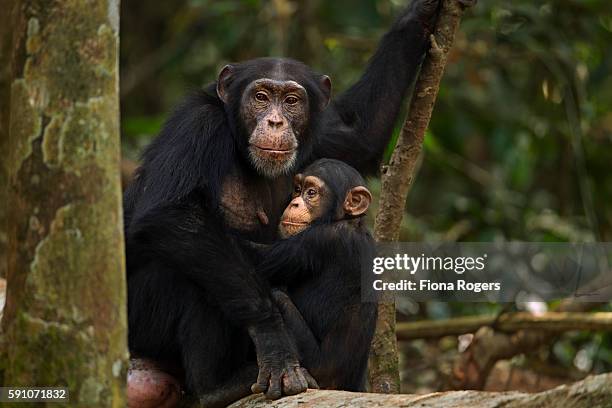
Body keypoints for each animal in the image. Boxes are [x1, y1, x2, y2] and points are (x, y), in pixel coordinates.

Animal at [252, 158, 378, 390]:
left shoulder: (320, 240)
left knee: (277, 294)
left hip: (315, 365)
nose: (294, 203)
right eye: (297, 189)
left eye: (311, 192)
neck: (347, 221)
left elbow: (257, 257)